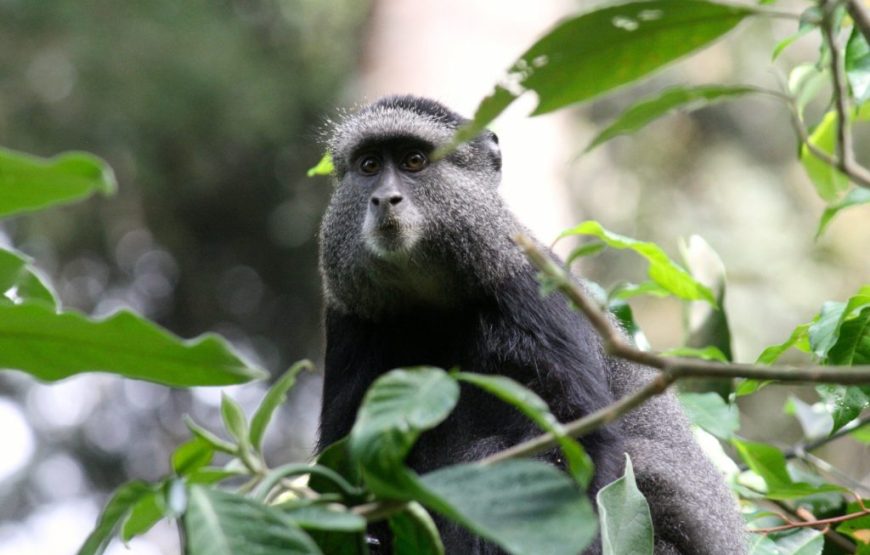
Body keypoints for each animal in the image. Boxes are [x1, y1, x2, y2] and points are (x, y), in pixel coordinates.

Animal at [317, 95, 746, 554]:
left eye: (413, 161)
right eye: (368, 166)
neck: (432, 298)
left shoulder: (531, 287)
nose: (384, 198)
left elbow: (579, 442)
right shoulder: (349, 318)